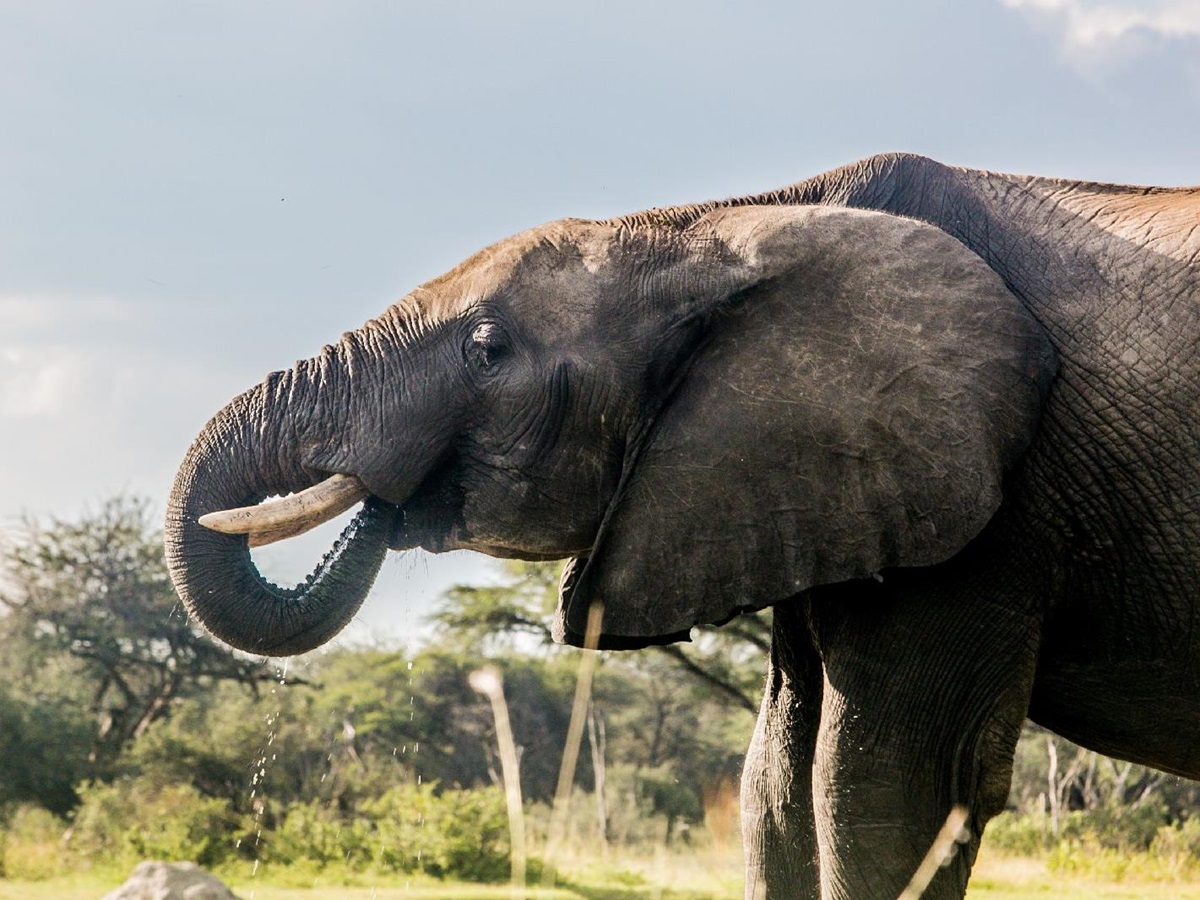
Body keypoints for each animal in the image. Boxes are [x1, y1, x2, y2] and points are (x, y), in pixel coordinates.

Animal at [166, 152, 1200, 899]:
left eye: (488, 348)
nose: (383, 499)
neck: (722, 227)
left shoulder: (988, 516)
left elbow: (884, 793)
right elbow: (774, 788)